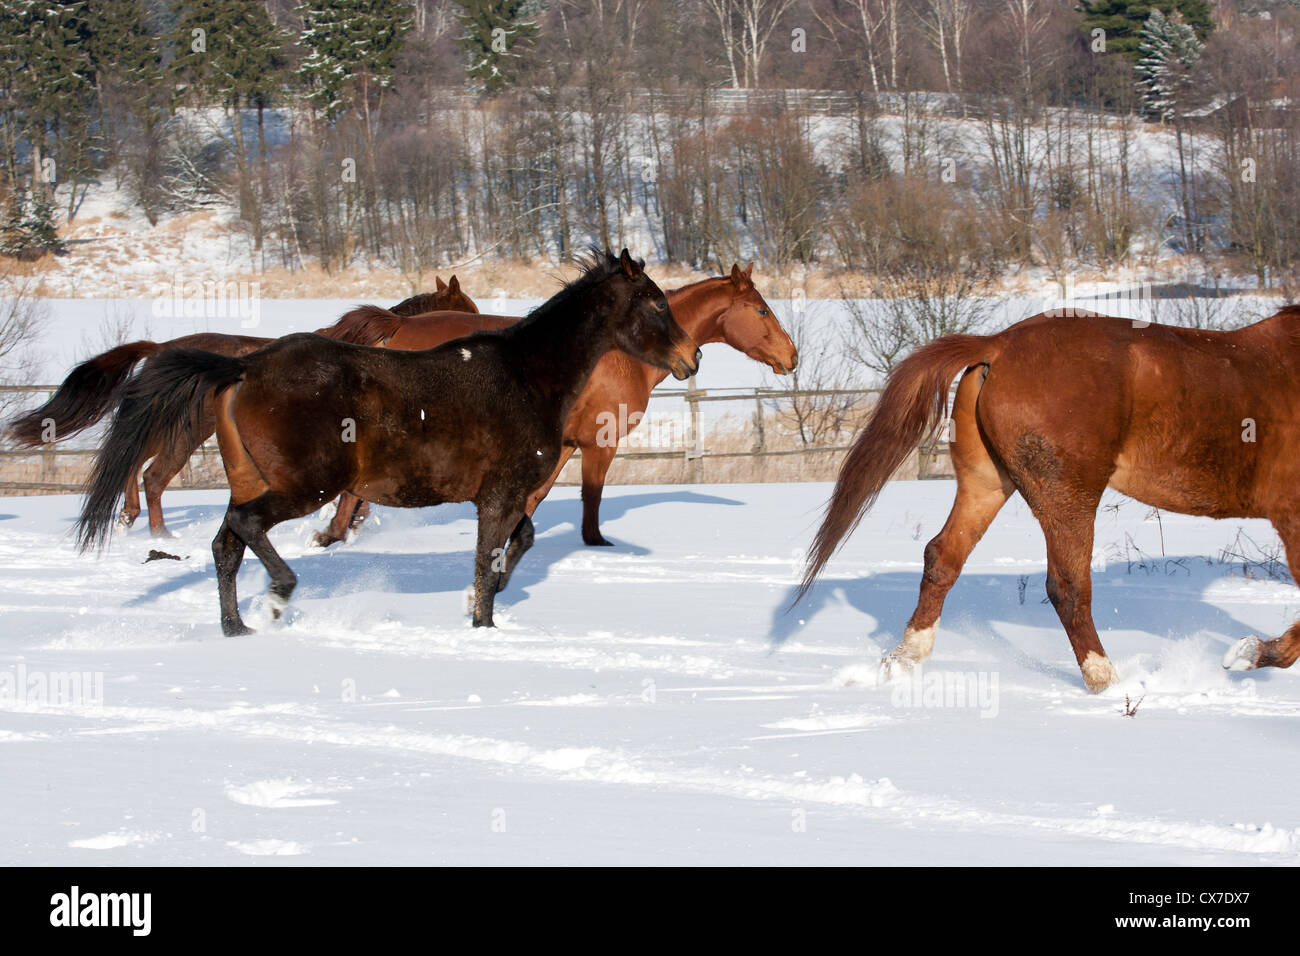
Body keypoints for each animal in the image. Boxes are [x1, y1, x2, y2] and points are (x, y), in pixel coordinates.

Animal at [7, 274, 475, 538]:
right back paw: (159, 536)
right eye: (466, 309)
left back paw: (130, 518)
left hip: (170, 429)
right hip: (184, 433)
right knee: (152, 475)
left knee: (130, 460)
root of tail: (159, 349)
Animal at [77, 251, 702, 632]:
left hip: (252, 479)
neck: (526, 375)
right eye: (656, 302)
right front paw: (482, 621)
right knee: (245, 527)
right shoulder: (499, 494)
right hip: (305, 484)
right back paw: (279, 594)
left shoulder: (503, 494)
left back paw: (237, 628)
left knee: (225, 545)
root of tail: (245, 367)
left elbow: (517, 544)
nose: (691, 357)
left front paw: (486, 599)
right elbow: (487, 556)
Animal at [317, 261, 800, 546]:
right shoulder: (599, 443)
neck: (622, 352)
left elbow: (534, 500)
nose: (792, 356)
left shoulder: (562, 445)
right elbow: (590, 502)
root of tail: (397, 326)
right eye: (762, 310)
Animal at [795, 306, 1300, 697]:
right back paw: (1107, 683)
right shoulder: (1290, 517)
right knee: (1068, 588)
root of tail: (998, 345)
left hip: (987, 485)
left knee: (942, 557)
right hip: (1068, 498)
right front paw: (1250, 652)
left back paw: (902, 660)